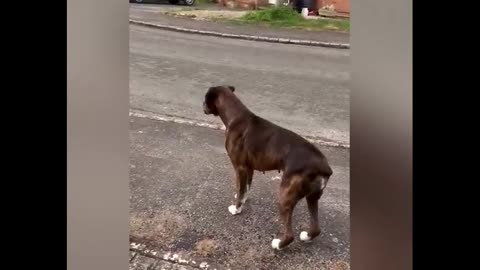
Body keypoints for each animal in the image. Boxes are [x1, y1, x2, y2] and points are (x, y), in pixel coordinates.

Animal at [203, 85, 334, 250]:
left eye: (205, 98)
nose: (202, 106)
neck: (236, 116)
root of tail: (323, 166)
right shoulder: (249, 168)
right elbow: (245, 188)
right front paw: (242, 201)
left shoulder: (239, 167)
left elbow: (239, 187)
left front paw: (236, 209)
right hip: (312, 197)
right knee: (316, 227)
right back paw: (306, 237)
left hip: (285, 195)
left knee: (289, 234)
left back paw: (278, 244)